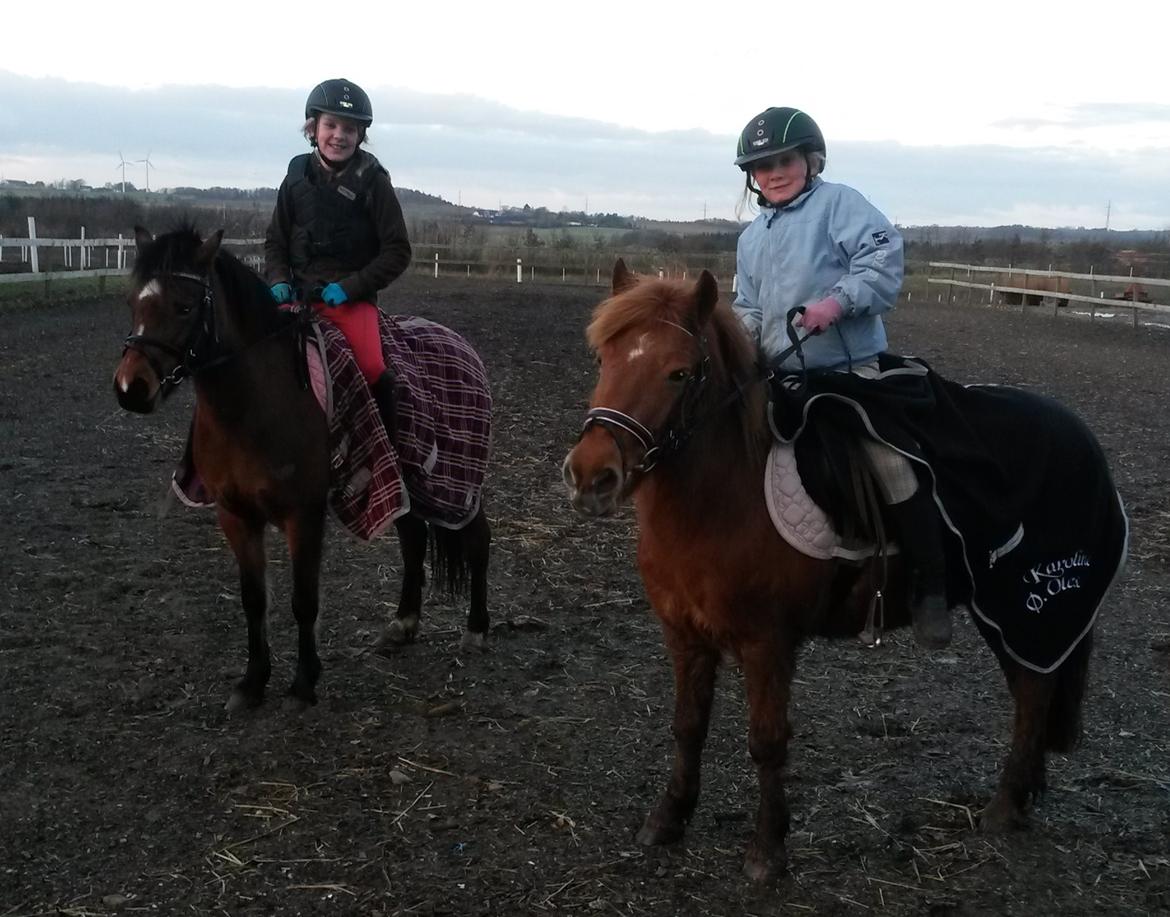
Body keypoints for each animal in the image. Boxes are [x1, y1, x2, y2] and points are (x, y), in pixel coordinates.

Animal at [112, 225, 489, 711]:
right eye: (133, 302)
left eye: (184, 306)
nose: (130, 388)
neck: (253, 406)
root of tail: (460, 343)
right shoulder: (235, 514)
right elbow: (254, 599)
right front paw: (252, 683)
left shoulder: (303, 514)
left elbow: (303, 600)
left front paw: (304, 681)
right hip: (409, 483)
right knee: (413, 539)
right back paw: (404, 623)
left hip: (454, 481)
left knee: (477, 539)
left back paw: (476, 630)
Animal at [561, 257, 1099, 879]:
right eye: (603, 359)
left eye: (678, 373)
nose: (590, 476)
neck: (723, 499)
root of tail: (1075, 431)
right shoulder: (684, 635)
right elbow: (687, 726)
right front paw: (668, 818)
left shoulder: (767, 642)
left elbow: (767, 740)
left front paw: (767, 849)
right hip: (1008, 615)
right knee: (1031, 687)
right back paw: (1023, 795)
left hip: (1031, 606)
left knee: (1034, 691)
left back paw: (1005, 807)